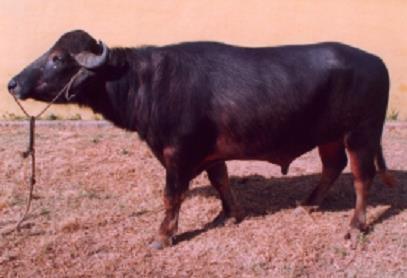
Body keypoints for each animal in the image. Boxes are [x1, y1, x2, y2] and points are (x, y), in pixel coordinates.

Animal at [7, 30, 396, 250]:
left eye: (57, 58)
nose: (12, 83)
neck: (146, 82)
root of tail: (377, 62)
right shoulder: (211, 153)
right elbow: (221, 179)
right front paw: (232, 214)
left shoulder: (177, 153)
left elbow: (171, 196)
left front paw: (163, 236)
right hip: (329, 137)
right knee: (333, 166)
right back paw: (309, 203)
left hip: (361, 134)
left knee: (362, 178)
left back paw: (354, 226)